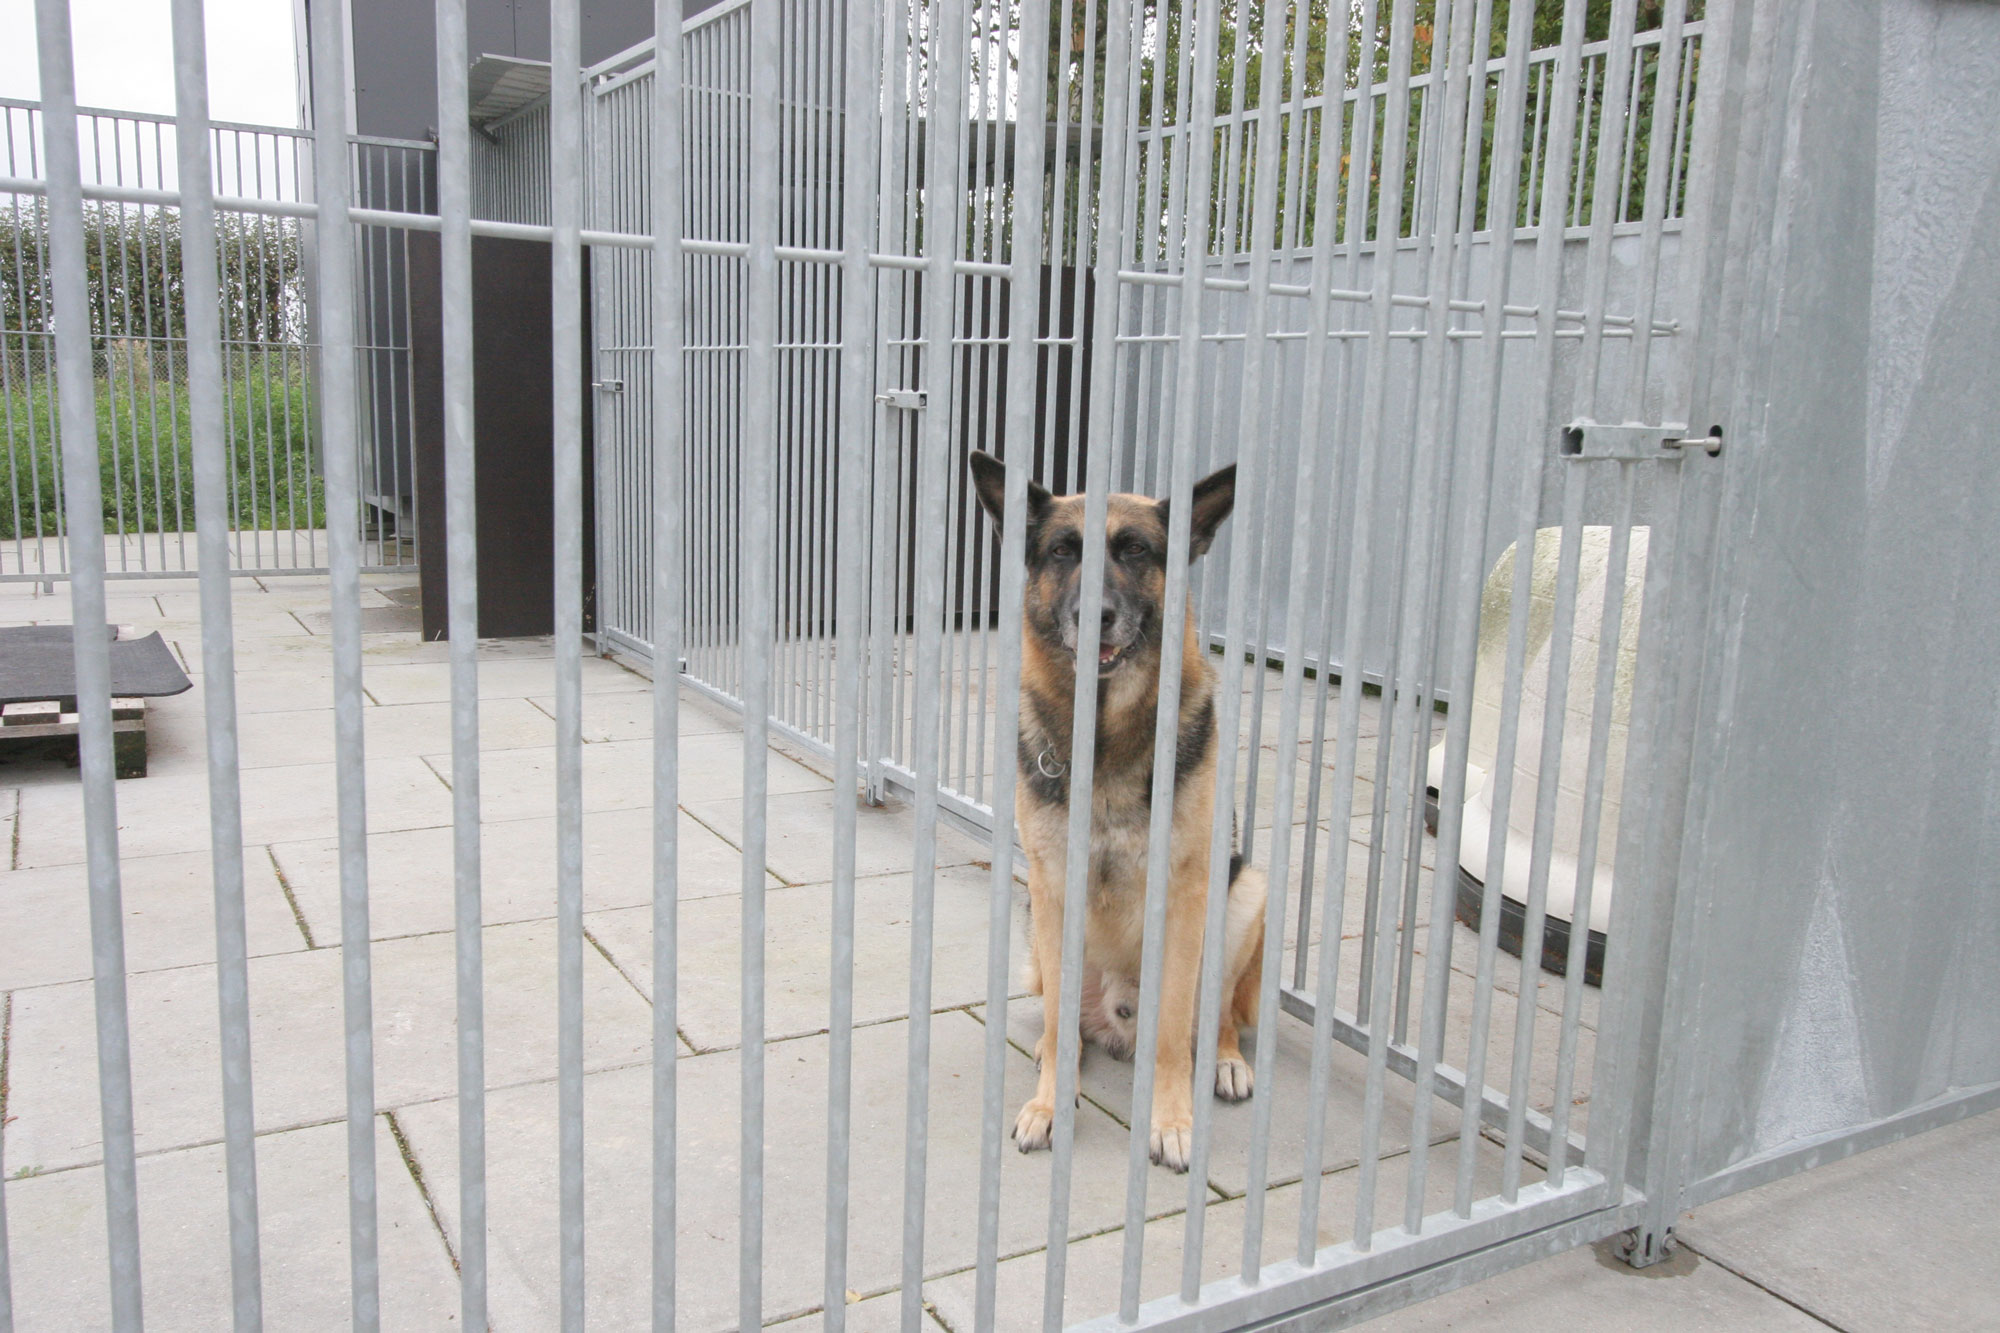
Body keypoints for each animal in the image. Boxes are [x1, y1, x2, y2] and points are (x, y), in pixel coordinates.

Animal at [968, 452, 1264, 1168]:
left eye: (1133, 550)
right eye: (1062, 551)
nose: (1094, 615)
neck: (1104, 740)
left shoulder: (1185, 899)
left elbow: (1173, 1032)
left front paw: (1172, 1119)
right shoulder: (1051, 888)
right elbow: (1058, 1026)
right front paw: (1050, 1103)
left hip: (1244, 895)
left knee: (1216, 1015)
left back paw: (1224, 1061)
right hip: (1038, 935)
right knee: (1063, 1019)